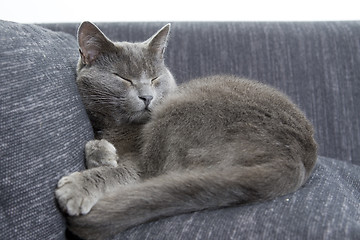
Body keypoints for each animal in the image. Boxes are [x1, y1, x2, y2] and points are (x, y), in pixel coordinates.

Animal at [54, 21, 316, 239]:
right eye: (123, 78)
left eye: (155, 78)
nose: (147, 97)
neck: (117, 127)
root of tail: (296, 156)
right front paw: (102, 154)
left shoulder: (138, 163)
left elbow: (119, 172)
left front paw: (77, 188)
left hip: (177, 111)